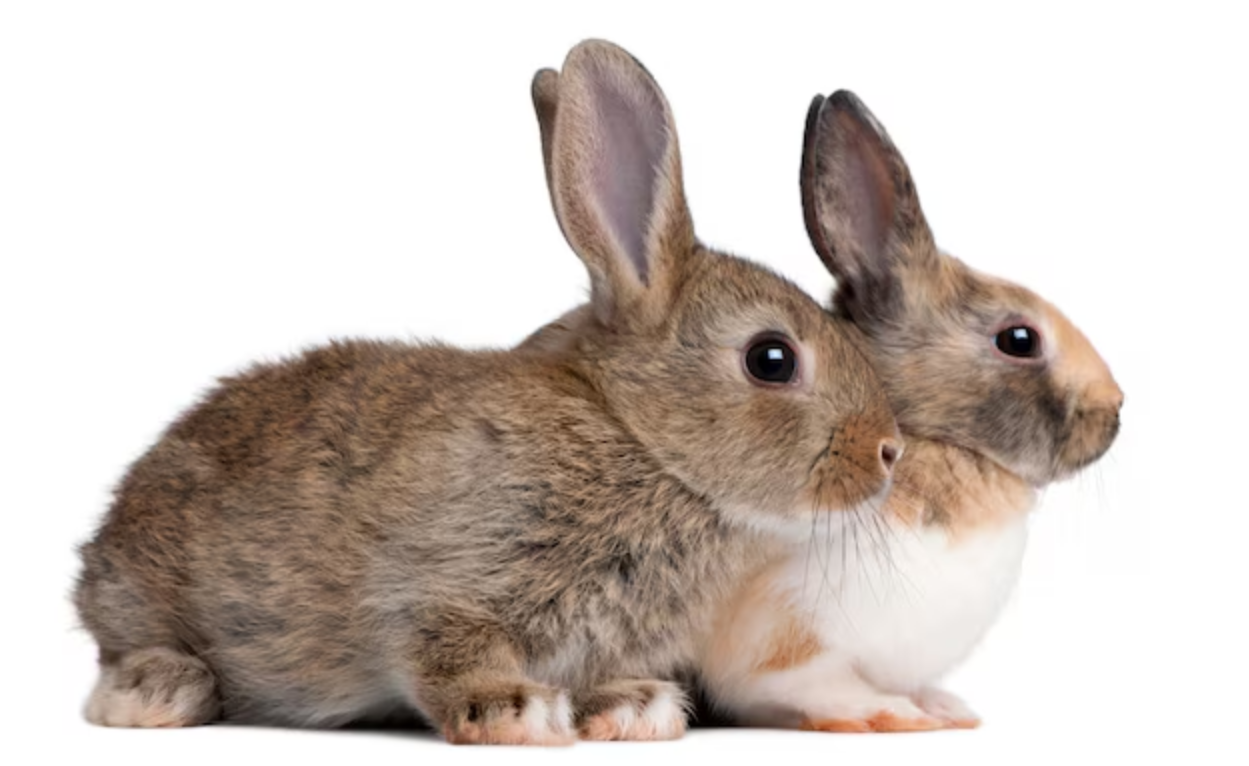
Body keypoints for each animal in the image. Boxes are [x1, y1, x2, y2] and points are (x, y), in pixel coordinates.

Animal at [71, 39, 902, 746]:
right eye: (771, 359)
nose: (889, 451)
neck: (636, 438)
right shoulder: (440, 580)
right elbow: (443, 647)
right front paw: (514, 710)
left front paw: (632, 706)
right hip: (146, 591)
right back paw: (157, 691)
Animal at [522, 87, 1123, 732]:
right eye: (1018, 339)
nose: (1115, 412)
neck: (927, 437)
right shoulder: (785, 637)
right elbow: (812, 685)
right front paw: (890, 713)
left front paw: (947, 707)